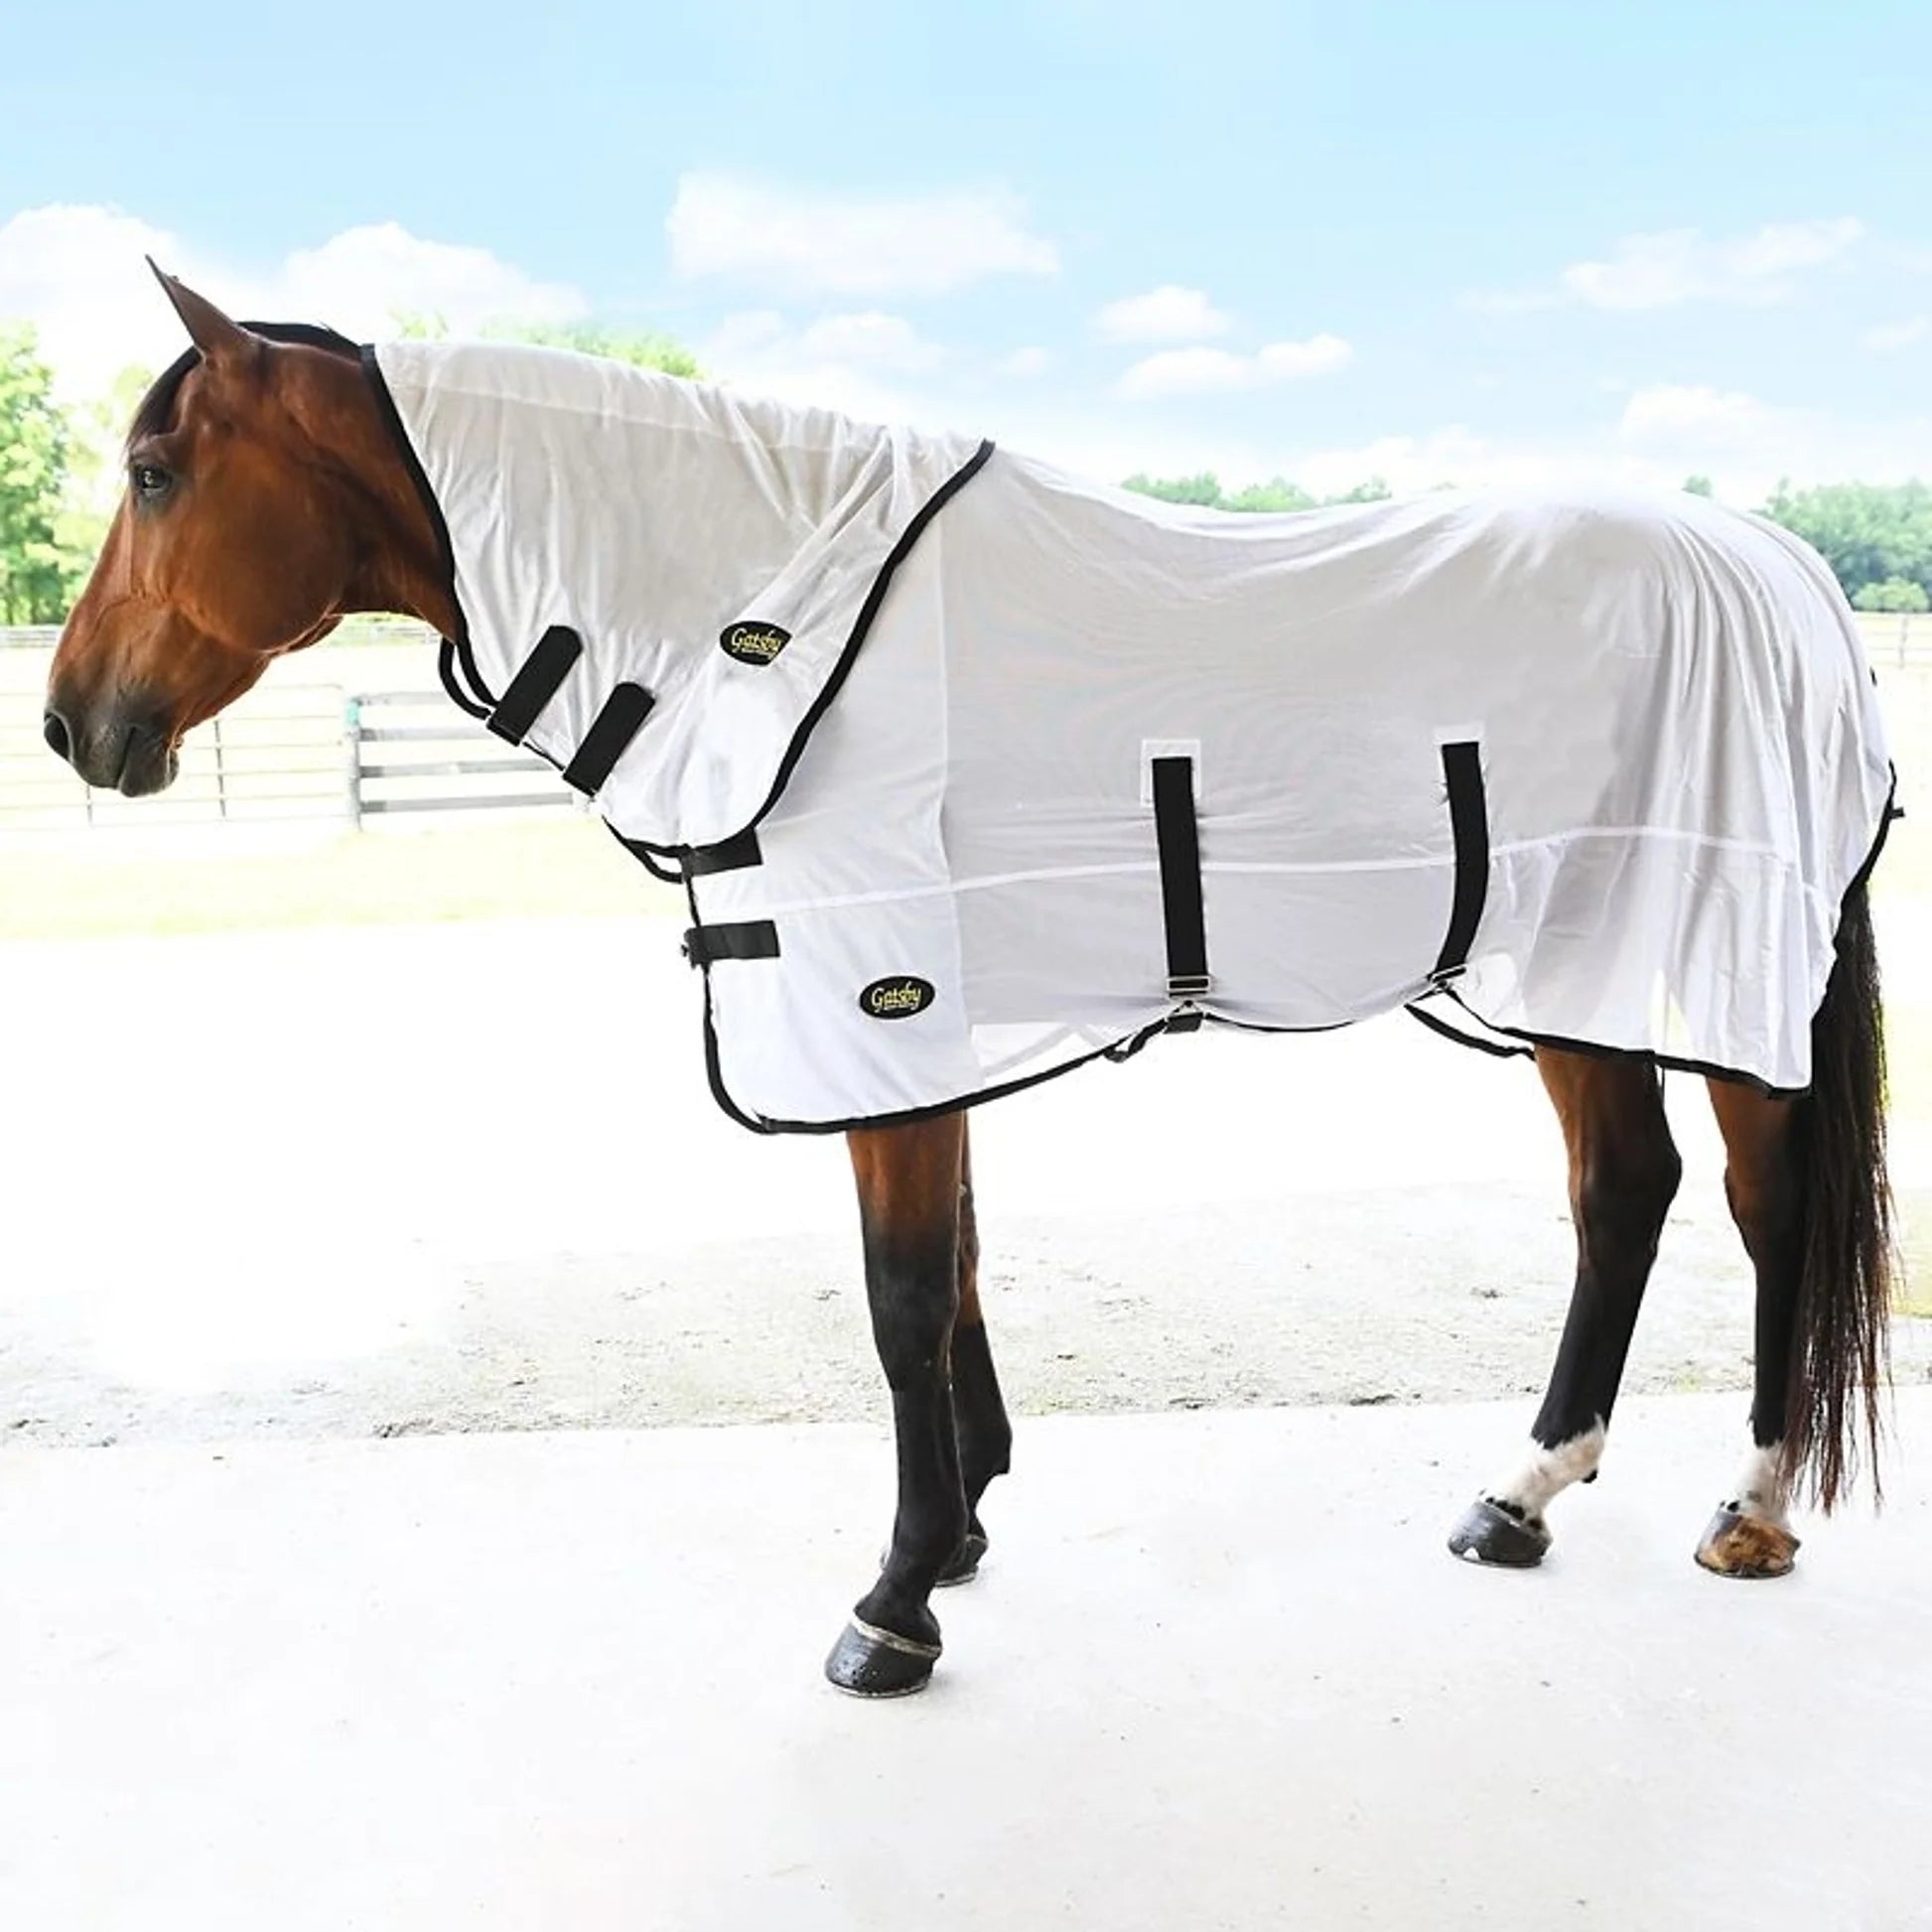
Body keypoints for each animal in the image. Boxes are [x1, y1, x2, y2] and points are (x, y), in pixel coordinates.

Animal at [44, 270, 1896, 1698]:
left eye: (153, 470)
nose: (70, 725)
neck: (765, 630)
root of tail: (1784, 569)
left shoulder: (880, 1019)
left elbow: (899, 1296)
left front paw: (896, 1598)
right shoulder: (924, 1034)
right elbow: (963, 1277)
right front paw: (970, 1524)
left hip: (1709, 970)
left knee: (1765, 1208)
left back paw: (1749, 1506)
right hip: (1569, 969)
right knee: (1626, 1191)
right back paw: (1520, 1494)